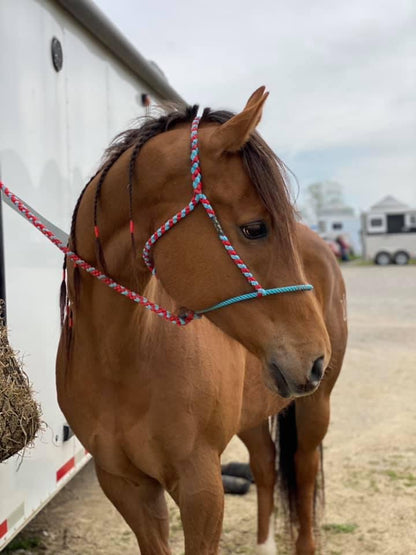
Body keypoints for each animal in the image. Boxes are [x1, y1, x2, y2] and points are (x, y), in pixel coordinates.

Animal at [56, 89, 348, 552]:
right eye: (255, 228)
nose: (316, 358)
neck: (121, 360)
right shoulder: (126, 485)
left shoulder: (201, 487)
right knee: (264, 462)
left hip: (314, 407)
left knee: (301, 473)